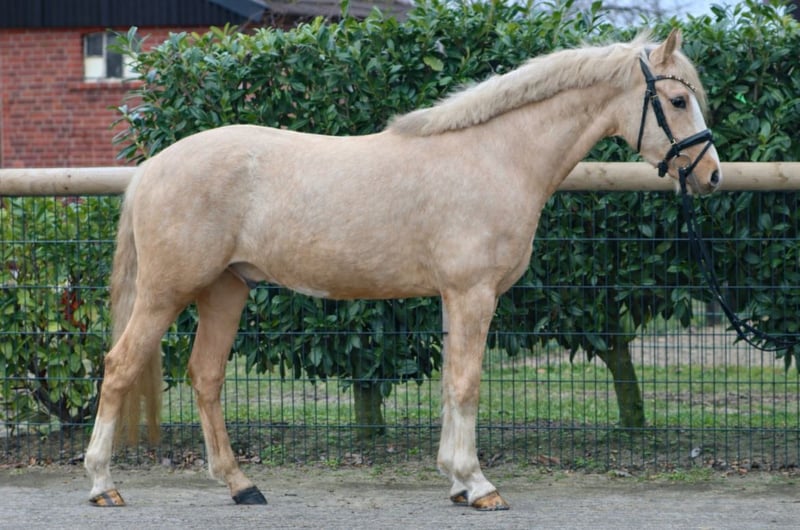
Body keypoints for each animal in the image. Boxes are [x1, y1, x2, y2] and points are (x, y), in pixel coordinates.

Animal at [84, 29, 721, 510]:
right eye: (678, 101)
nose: (712, 175)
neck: (495, 156)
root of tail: (152, 168)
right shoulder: (473, 293)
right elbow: (466, 383)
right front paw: (479, 485)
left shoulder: (454, 297)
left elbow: (450, 384)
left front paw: (457, 482)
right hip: (168, 291)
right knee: (119, 367)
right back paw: (103, 484)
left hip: (226, 290)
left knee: (206, 376)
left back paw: (242, 486)